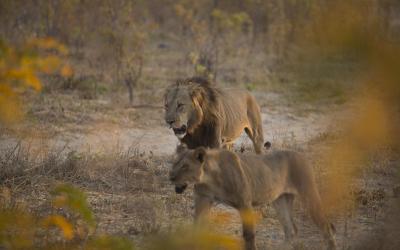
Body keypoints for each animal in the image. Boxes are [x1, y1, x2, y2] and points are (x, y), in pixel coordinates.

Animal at [170, 146, 338, 249]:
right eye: (174, 163)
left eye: (185, 166)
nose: (170, 177)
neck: (209, 178)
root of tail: (301, 155)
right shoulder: (203, 199)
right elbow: (197, 227)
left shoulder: (245, 203)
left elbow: (248, 234)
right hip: (280, 201)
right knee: (291, 229)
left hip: (309, 194)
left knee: (325, 227)